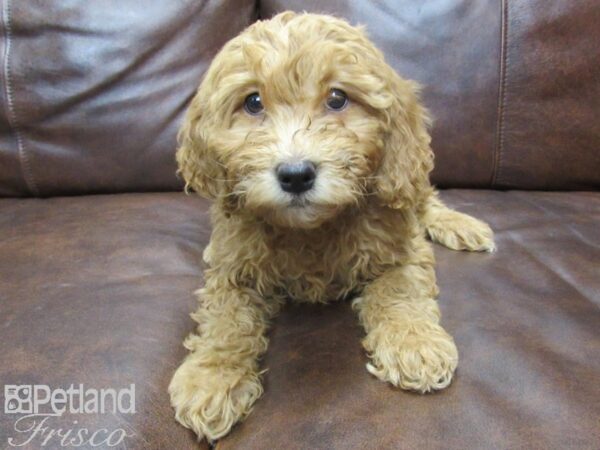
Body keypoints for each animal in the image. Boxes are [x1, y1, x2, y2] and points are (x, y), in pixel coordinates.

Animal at [168, 12, 492, 442]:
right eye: (253, 102)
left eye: (337, 98)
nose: (295, 175)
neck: (313, 229)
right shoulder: (230, 266)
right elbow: (225, 319)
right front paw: (212, 377)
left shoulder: (402, 247)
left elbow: (399, 289)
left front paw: (415, 344)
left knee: (426, 200)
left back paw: (462, 224)